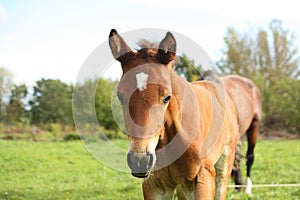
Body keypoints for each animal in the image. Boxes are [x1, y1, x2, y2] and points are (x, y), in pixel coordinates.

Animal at [109, 28, 238, 199]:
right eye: (120, 96)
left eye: (167, 97)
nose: (140, 160)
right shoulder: (155, 185)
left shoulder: (202, 178)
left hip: (223, 165)